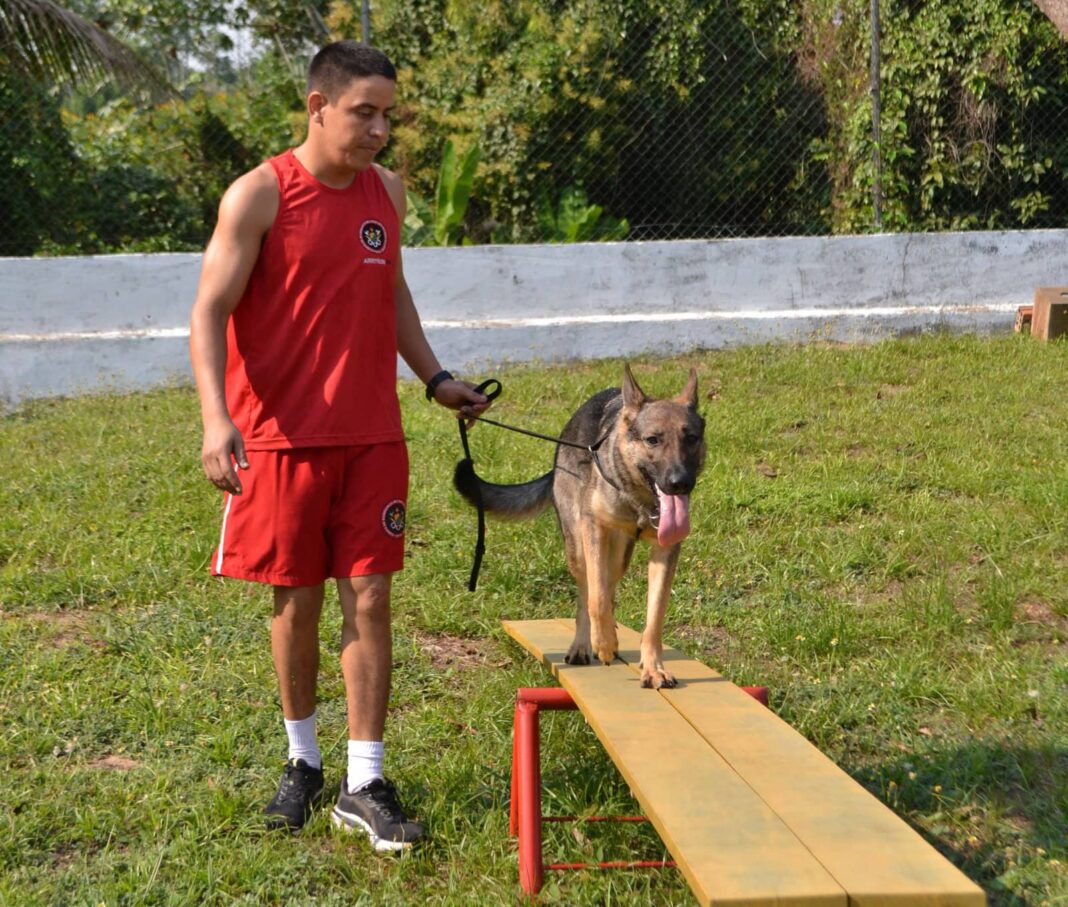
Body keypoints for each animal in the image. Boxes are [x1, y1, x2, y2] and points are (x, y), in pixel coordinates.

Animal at [454, 365, 704, 683]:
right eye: (652, 440)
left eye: (691, 438)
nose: (680, 483)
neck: (640, 501)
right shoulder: (593, 528)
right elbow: (595, 598)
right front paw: (604, 643)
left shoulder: (665, 551)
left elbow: (654, 618)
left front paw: (653, 668)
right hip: (577, 548)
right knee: (588, 590)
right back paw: (586, 645)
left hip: (618, 555)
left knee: (609, 586)